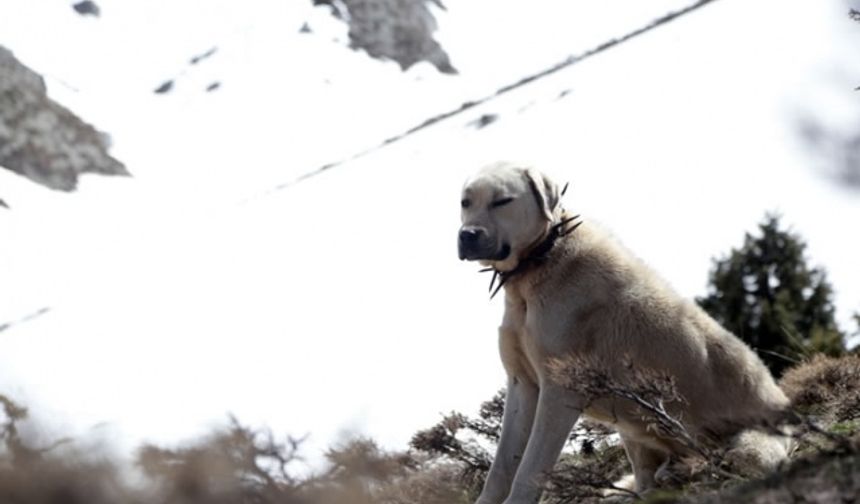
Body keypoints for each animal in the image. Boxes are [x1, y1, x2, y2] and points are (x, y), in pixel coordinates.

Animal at [460, 162, 788, 504]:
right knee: (647, 480)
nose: (467, 235)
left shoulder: (559, 393)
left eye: (502, 201)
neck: (543, 259)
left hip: (742, 447)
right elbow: (501, 466)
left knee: (718, 470)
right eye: (465, 202)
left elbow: (530, 467)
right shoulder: (522, 384)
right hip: (632, 429)